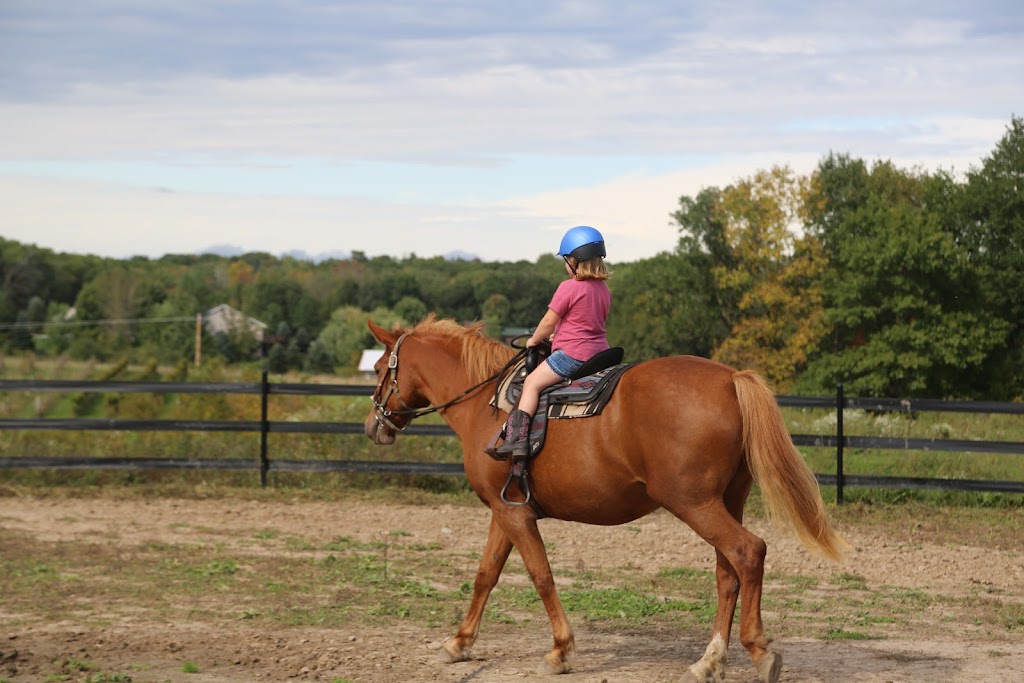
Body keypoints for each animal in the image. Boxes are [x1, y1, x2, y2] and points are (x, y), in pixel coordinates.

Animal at [364, 321, 843, 683]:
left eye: (379, 369)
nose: (373, 424)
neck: (488, 405)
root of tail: (729, 379)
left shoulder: (514, 515)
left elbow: (540, 575)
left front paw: (560, 650)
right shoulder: (506, 511)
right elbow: (486, 575)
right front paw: (459, 642)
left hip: (694, 503)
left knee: (748, 552)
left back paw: (759, 650)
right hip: (726, 500)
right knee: (729, 573)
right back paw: (709, 661)